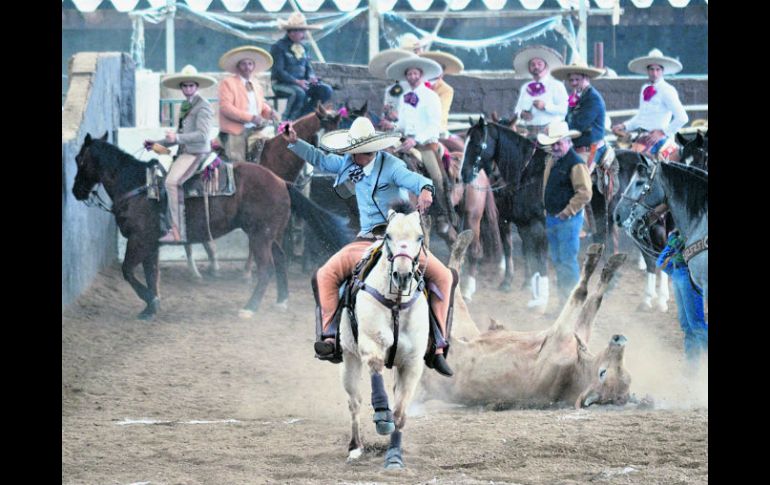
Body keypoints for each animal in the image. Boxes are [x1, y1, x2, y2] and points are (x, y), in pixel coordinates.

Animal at [72, 132, 348, 322]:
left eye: (79, 160)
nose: (76, 191)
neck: (138, 186)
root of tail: (282, 182)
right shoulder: (151, 243)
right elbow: (151, 274)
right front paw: (150, 308)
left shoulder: (139, 239)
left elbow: (128, 271)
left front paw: (151, 301)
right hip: (271, 235)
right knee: (280, 260)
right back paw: (281, 301)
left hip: (260, 236)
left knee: (266, 268)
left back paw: (249, 308)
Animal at [340, 205, 428, 468]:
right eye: (388, 235)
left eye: (419, 237)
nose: (403, 275)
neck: (396, 304)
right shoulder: (371, 345)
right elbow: (376, 367)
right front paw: (381, 415)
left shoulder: (412, 365)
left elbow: (400, 413)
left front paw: (394, 457)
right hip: (349, 359)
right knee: (354, 402)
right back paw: (355, 447)